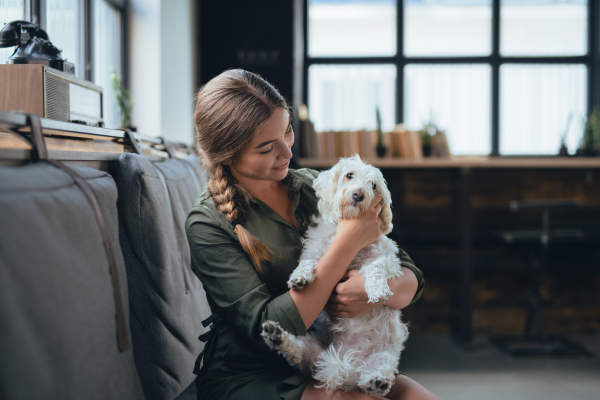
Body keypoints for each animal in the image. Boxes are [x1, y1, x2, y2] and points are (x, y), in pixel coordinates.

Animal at [262, 155, 408, 396]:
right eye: (349, 175)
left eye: (373, 185)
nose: (359, 194)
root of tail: (346, 364)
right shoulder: (316, 251)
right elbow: (308, 262)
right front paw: (299, 278)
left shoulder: (385, 257)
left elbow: (375, 269)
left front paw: (378, 291)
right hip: (314, 352)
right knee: (297, 352)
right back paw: (276, 336)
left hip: (385, 357)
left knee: (378, 376)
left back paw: (376, 382)